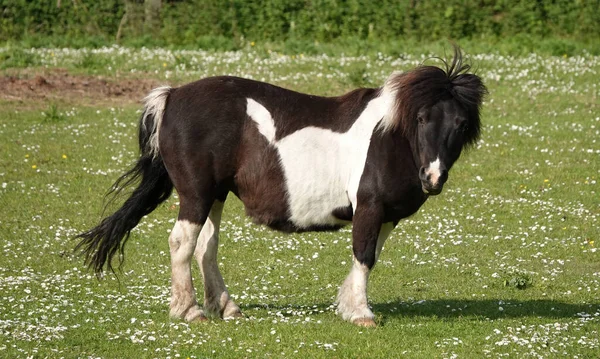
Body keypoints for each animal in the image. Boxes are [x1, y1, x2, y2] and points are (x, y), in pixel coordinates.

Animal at [76, 46, 488, 328]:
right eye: (421, 118)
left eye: (461, 124)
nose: (432, 178)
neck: (390, 136)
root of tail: (173, 95)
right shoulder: (370, 207)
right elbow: (363, 255)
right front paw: (361, 313)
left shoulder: (387, 216)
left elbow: (368, 257)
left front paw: (347, 305)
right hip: (196, 193)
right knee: (183, 243)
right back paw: (189, 310)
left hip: (216, 195)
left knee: (206, 246)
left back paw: (226, 307)